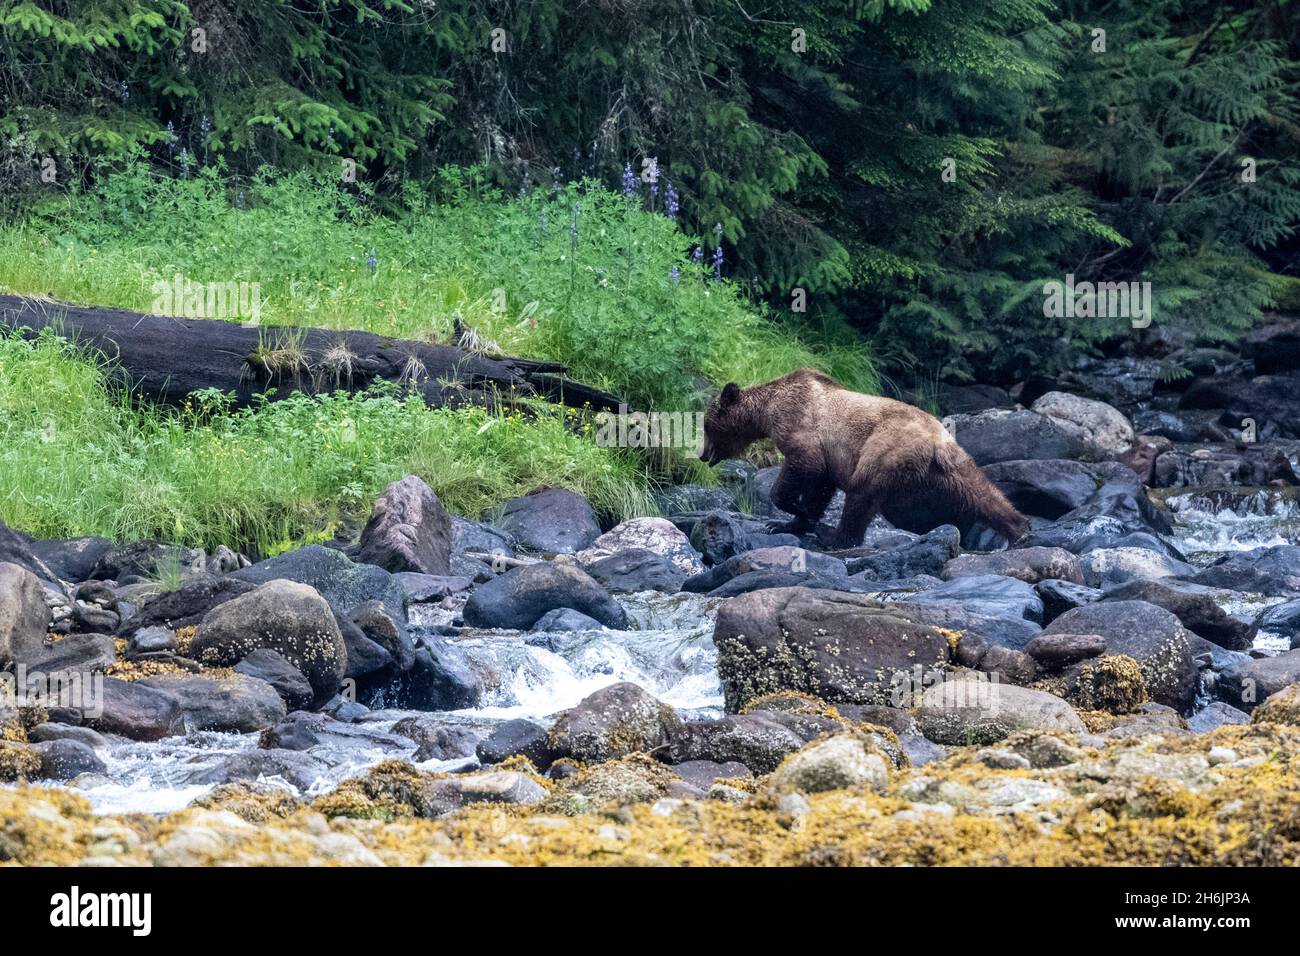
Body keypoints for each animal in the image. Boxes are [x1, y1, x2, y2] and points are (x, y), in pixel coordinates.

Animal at [702, 369, 1024, 546]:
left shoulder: (801, 427)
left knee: (862, 491)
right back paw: (1019, 528)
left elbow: (805, 467)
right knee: (980, 491)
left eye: (706, 426)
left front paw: (794, 510)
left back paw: (834, 536)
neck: (768, 411)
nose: (703, 455)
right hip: (953, 463)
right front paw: (789, 523)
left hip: (886, 447)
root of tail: (936, 439)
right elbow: (822, 485)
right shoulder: (830, 456)